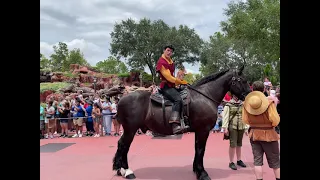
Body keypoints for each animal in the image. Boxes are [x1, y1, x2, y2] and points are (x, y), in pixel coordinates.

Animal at [112, 66, 250, 180]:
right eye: (242, 80)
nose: (249, 96)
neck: (204, 96)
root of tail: (122, 98)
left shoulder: (199, 131)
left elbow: (197, 149)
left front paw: (197, 170)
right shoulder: (203, 130)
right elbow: (201, 150)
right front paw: (202, 173)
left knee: (121, 145)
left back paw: (120, 169)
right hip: (130, 129)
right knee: (124, 146)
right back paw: (127, 171)